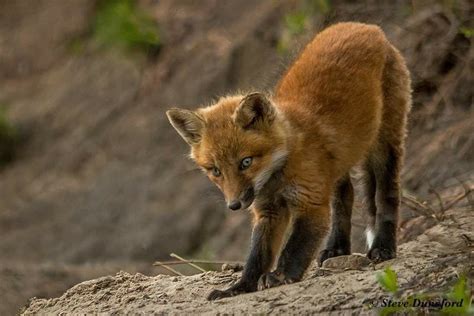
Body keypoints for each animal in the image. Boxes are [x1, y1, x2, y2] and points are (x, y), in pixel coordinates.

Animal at [167, 21, 412, 298]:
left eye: (245, 162)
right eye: (215, 171)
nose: (234, 205)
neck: (278, 173)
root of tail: (365, 27)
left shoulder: (310, 202)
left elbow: (294, 248)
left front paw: (280, 276)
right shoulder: (269, 210)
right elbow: (257, 256)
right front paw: (239, 287)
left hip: (385, 145)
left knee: (386, 194)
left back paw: (383, 246)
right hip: (337, 167)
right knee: (345, 196)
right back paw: (337, 248)